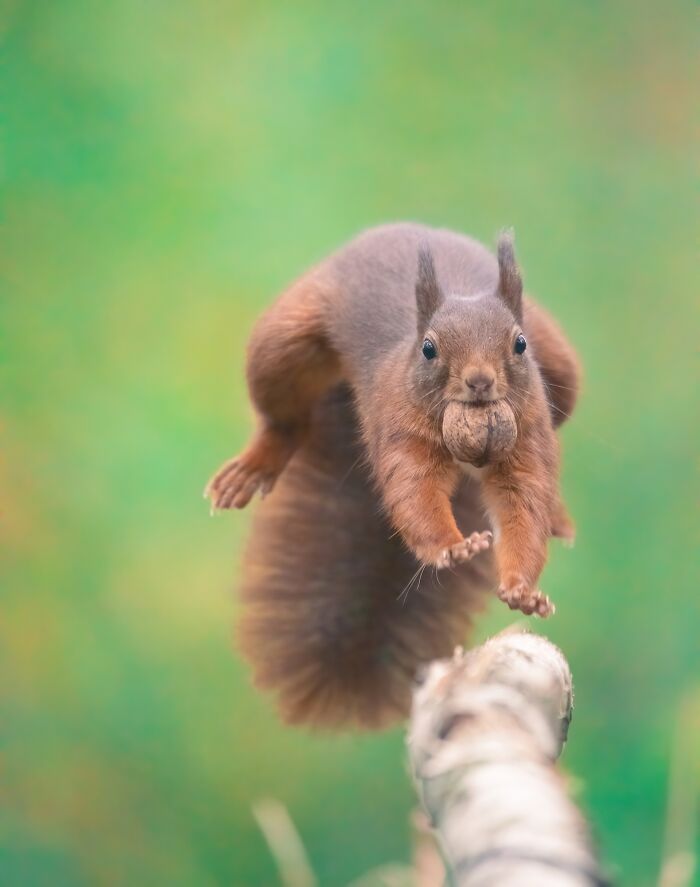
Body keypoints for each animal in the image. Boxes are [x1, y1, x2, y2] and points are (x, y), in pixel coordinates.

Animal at [205, 223, 580, 729]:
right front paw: (451, 547)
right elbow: (414, 490)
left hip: (562, 369)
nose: (480, 381)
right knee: (284, 419)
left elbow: (523, 503)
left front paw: (522, 589)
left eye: (519, 344)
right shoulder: (400, 429)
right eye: (429, 349)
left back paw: (558, 515)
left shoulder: (528, 435)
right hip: (282, 341)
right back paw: (253, 465)